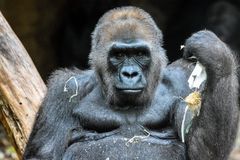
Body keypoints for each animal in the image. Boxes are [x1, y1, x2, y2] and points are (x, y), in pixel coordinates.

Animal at [23, 6, 239, 160]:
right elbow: (43, 155)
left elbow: (202, 151)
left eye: (140, 54)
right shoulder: (63, 89)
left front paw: (216, 57)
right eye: (118, 55)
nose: (130, 73)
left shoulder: (182, 79)